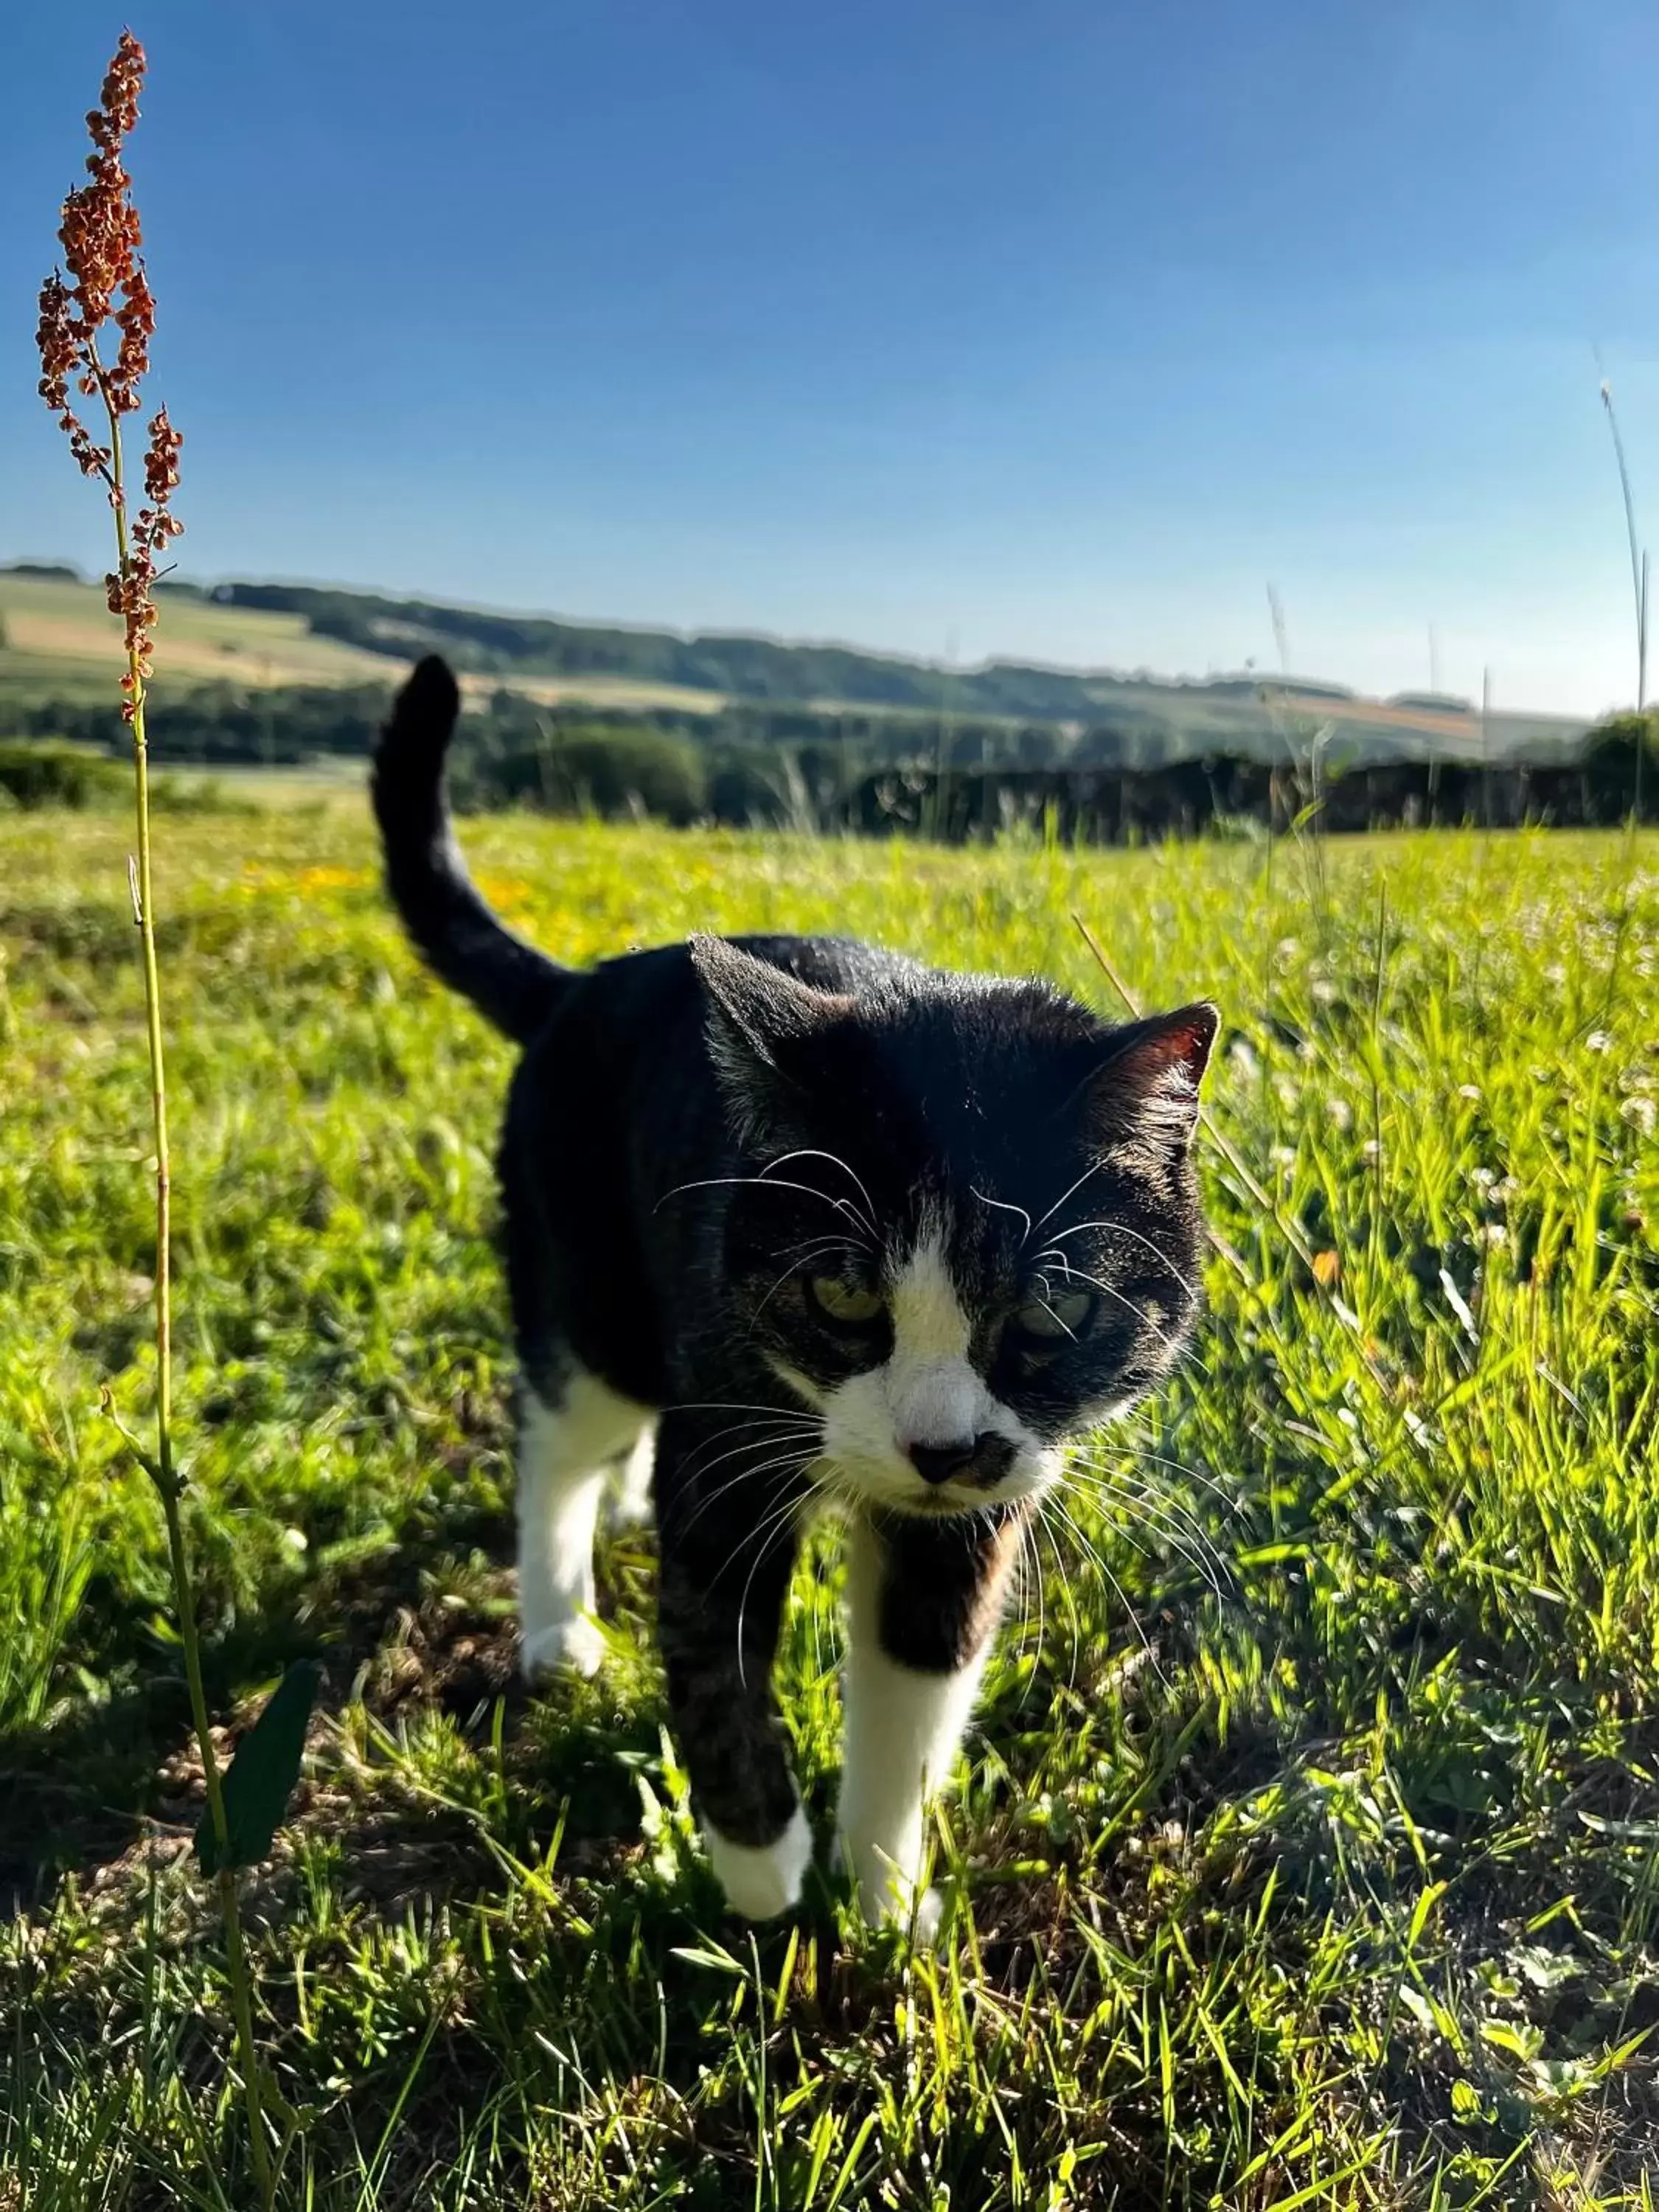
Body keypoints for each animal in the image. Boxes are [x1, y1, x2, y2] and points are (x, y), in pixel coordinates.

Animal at [376, 646, 1221, 1929]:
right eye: (842, 1298)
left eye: (1049, 1311)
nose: (940, 1449)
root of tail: (574, 988)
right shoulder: (727, 1428)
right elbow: (712, 1654)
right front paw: (763, 1875)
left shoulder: (971, 1515)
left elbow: (916, 1686)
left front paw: (879, 1897)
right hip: (587, 1282)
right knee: (556, 1433)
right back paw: (559, 1620)